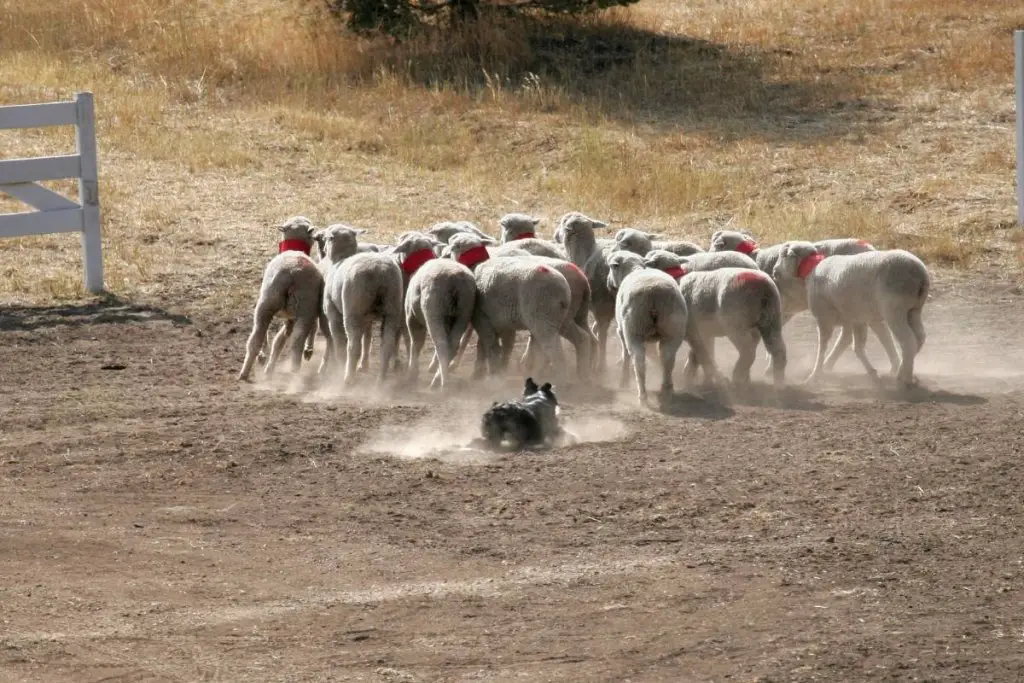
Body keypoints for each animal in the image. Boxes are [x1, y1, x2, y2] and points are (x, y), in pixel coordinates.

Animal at [236, 216, 325, 382]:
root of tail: (292, 273)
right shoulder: (304, 313)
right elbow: (287, 337)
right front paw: (308, 350)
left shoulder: (289, 317)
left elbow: (278, 341)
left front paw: (267, 365)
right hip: (305, 309)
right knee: (296, 342)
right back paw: (295, 371)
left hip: (267, 302)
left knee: (256, 337)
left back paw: (245, 372)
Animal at [319, 249, 403, 385]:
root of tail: (379, 272)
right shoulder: (366, 319)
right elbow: (367, 338)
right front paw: (363, 366)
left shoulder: (332, 313)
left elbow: (339, 342)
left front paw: (338, 368)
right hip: (392, 306)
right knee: (387, 345)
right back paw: (380, 380)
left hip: (353, 310)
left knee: (353, 346)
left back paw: (348, 377)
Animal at [602, 250, 692, 403]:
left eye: (612, 267)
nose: (608, 283)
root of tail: (654, 293)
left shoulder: (621, 331)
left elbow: (625, 355)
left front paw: (624, 381)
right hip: (673, 328)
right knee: (667, 358)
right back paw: (667, 390)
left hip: (634, 329)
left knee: (638, 361)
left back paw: (642, 396)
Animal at [798, 249, 929, 389]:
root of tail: (920, 274)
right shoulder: (856, 319)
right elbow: (857, 347)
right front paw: (873, 374)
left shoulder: (824, 318)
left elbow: (822, 347)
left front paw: (814, 375)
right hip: (914, 309)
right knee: (919, 338)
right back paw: (904, 371)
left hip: (894, 308)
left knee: (908, 341)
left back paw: (904, 379)